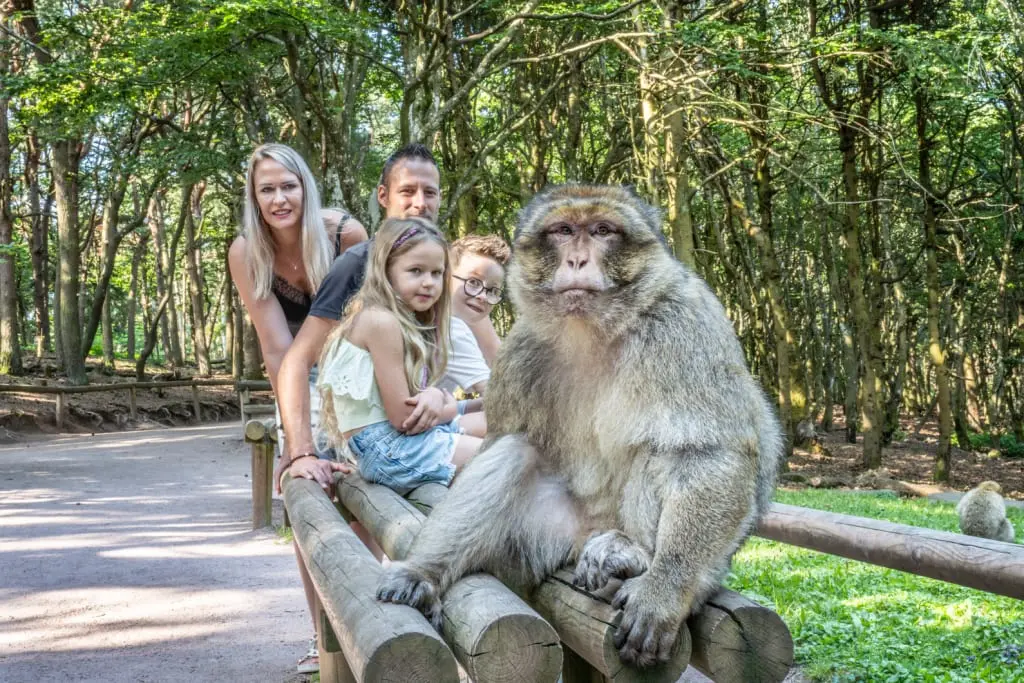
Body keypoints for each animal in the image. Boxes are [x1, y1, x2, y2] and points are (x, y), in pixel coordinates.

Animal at [376, 184, 784, 668]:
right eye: (564, 231)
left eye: (603, 230)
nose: (576, 261)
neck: (591, 329)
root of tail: (586, 533)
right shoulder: (521, 346)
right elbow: (498, 440)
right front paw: (425, 566)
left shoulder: (684, 325)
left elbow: (706, 452)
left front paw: (663, 592)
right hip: (545, 538)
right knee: (516, 452)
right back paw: (424, 574)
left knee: (660, 454)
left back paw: (631, 553)